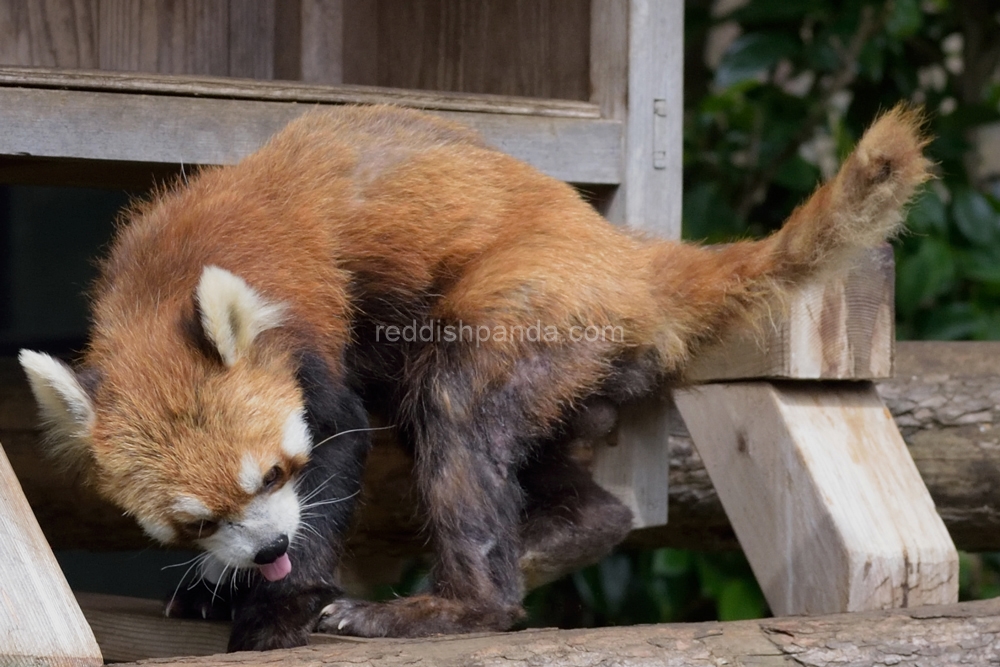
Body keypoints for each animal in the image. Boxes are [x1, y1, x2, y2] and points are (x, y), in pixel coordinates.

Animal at [21, 105, 928, 652]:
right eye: (198, 520)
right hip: (567, 365)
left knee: (456, 419)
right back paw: (566, 531)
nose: (271, 548)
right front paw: (225, 583)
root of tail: (624, 254)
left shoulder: (306, 324)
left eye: (276, 474)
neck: (164, 277)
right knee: (542, 462)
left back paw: (455, 605)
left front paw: (282, 604)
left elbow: (340, 443)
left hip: (526, 302)